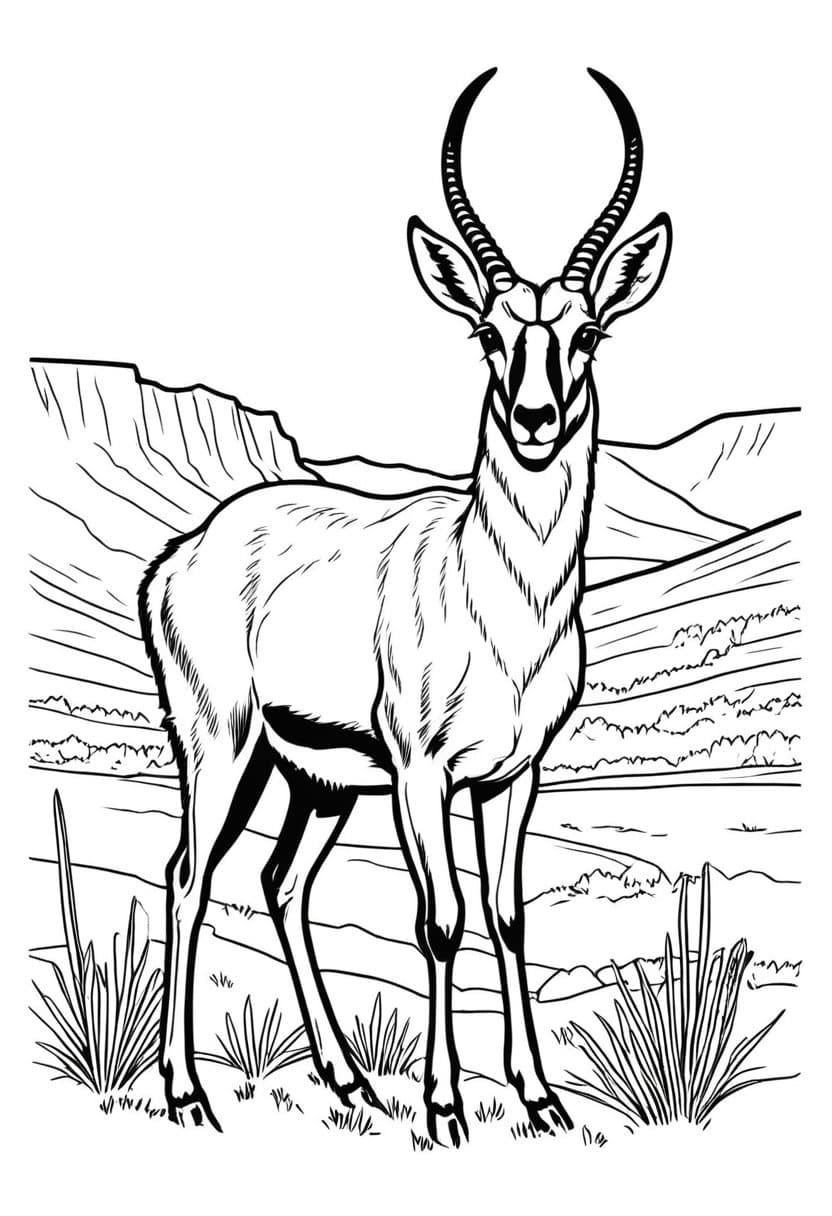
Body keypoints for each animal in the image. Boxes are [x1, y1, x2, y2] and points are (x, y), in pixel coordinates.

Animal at [139, 66, 672, 1145]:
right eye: (490, 333)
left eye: (585, 332)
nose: (535, 420)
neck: (500, 600)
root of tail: (184, 554)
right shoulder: (425, 774)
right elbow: (440, 920)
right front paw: (445, 1106)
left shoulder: (513, 776)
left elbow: (508, 915)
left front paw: (540, 1100)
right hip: (223, 746)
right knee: (186, 878)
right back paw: (188, 1095)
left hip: (318, 783)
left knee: (279, 882)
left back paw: (347, 1081)